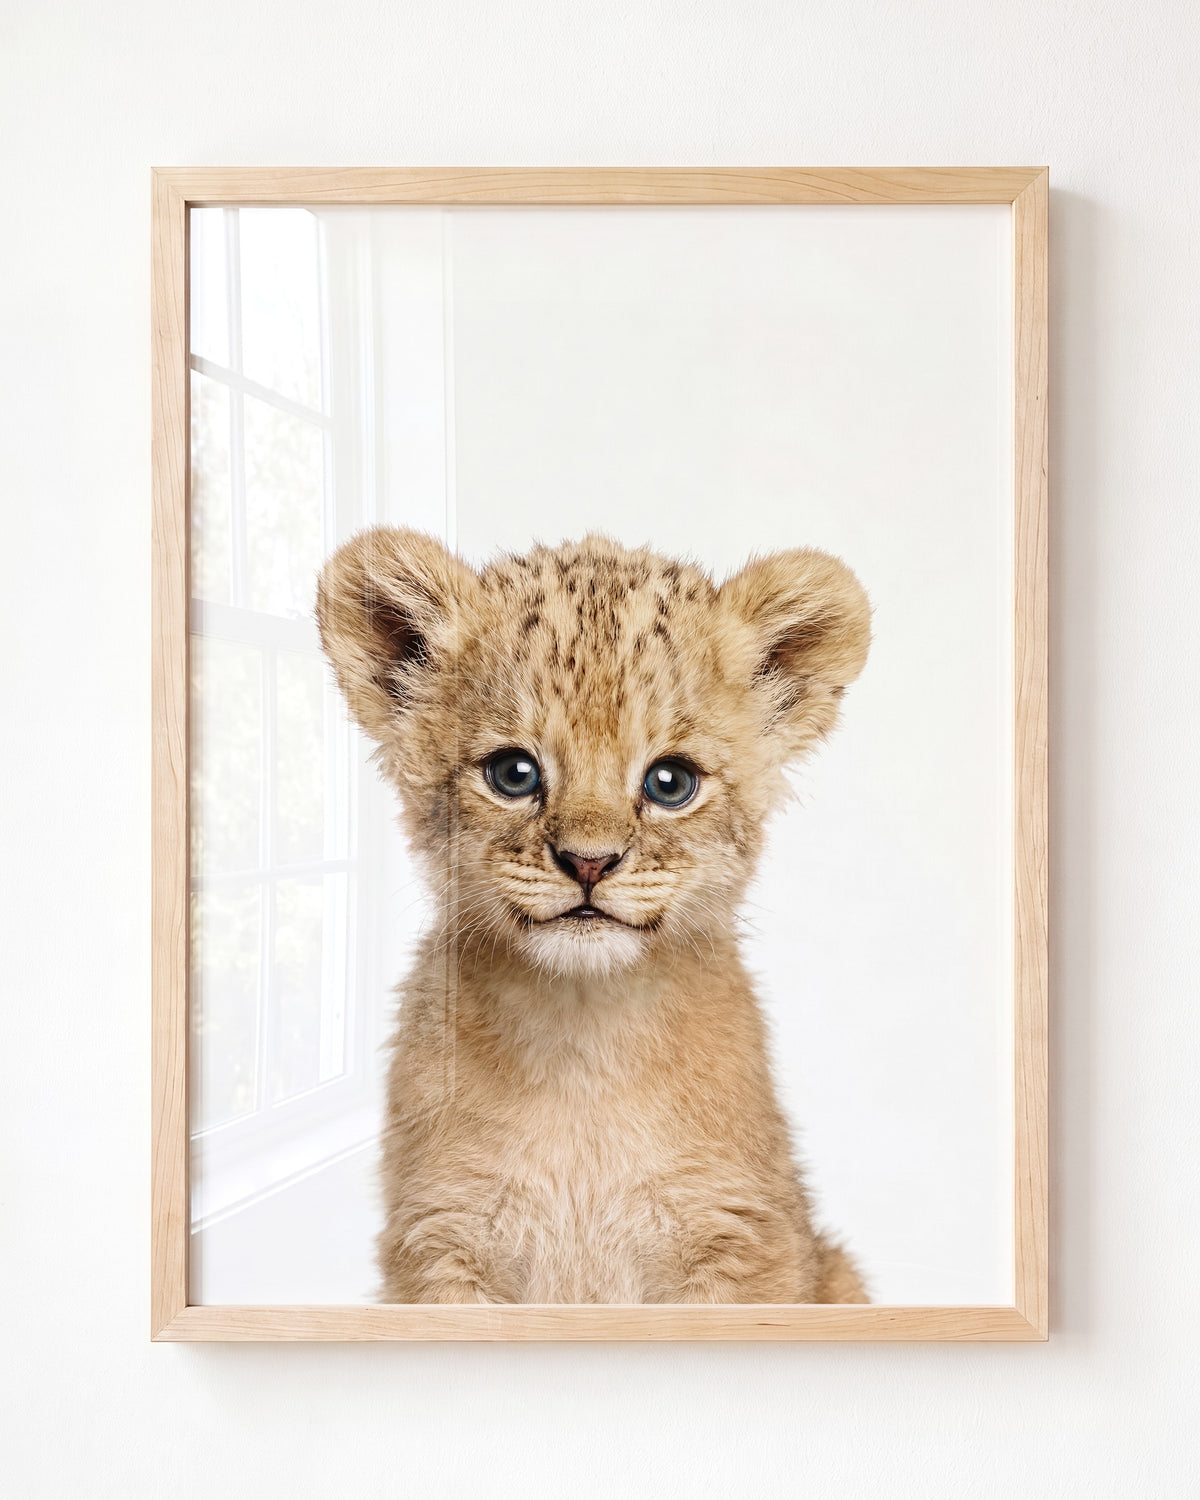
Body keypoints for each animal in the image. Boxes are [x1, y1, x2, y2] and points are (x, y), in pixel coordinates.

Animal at [317, 528, 871, 1304]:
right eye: (513, 774)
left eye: (670, 783)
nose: (588, 863)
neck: (582, 1041)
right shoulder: (441, 1239)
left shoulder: (742, 1238)